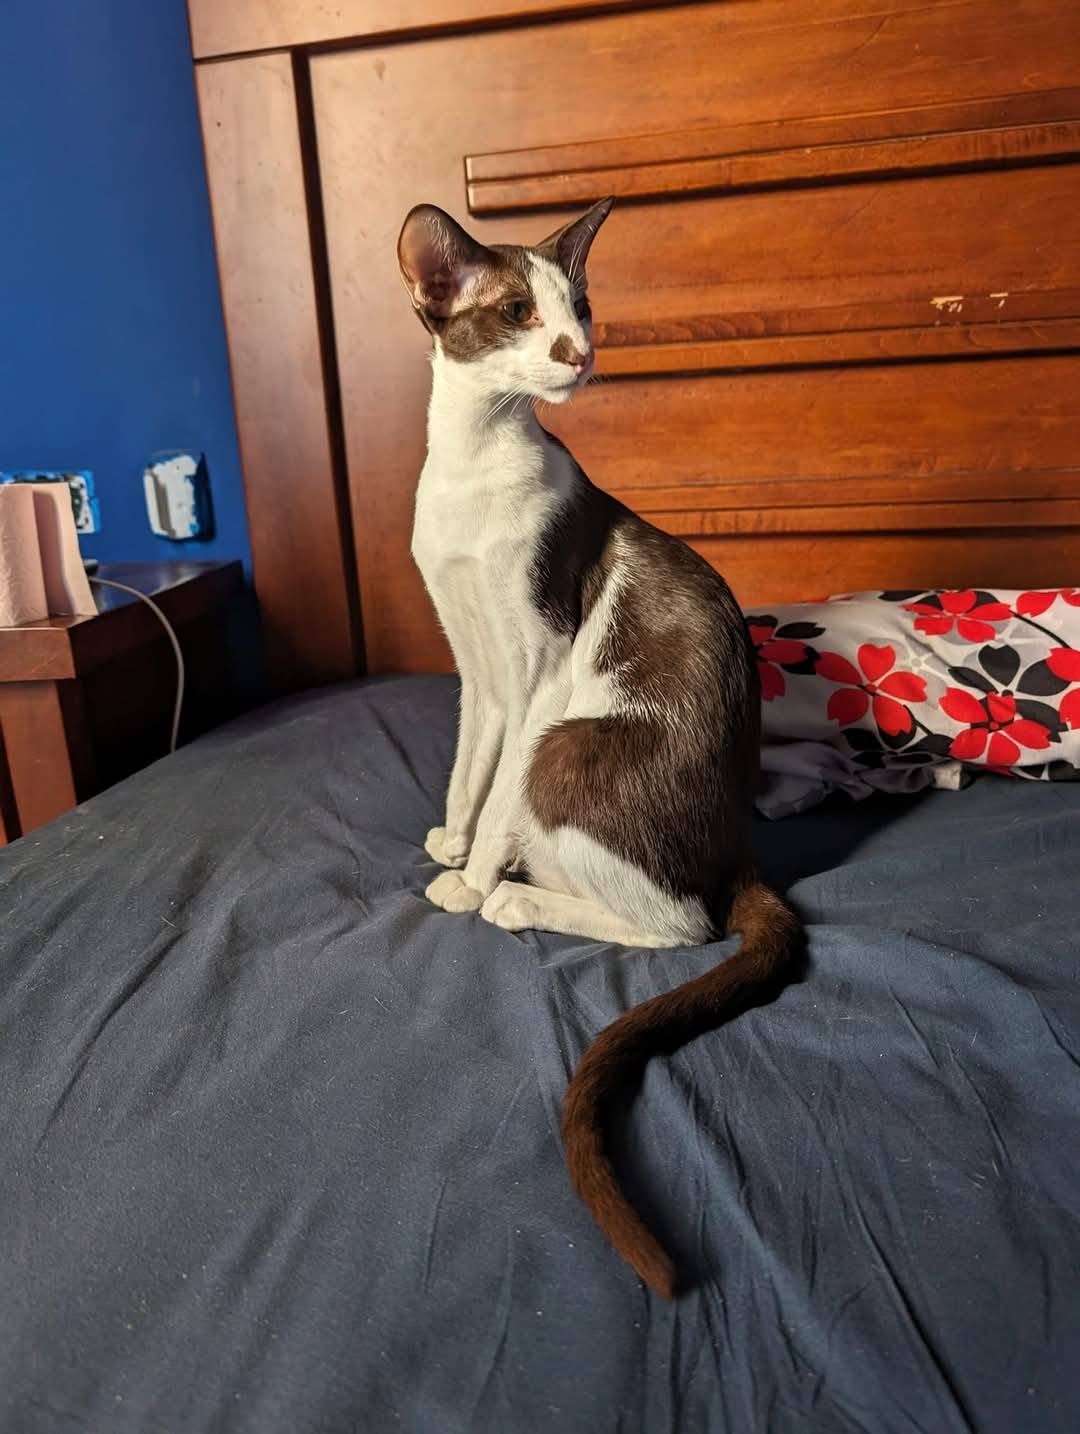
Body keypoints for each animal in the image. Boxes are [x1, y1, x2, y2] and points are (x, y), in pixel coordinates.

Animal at [398, 198, 800, 1298]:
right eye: (515, 311)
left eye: (579, 308)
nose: (579, 353)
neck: (471, 471)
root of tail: (738, 841)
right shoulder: (476, 665)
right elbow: (469, 767)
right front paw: (452, 840)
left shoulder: (540, 665)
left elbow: (500, 789)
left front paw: (469, 880)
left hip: (574, 744)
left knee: (683, 923)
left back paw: (519, 896)